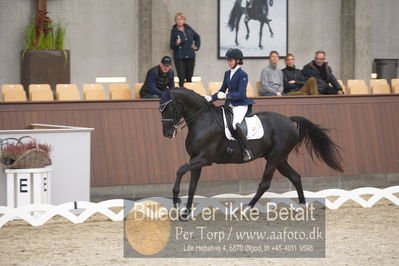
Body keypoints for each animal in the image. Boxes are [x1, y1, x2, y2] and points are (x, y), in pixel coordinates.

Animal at [159, 88, 344, 217]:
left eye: (168, 108)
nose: (167, 134)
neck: (203, 120)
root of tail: (288, 120)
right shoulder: (195, 159)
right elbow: (192, 186)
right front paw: (185, 213)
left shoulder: (204, 159)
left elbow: (180, 170)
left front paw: (176, 200)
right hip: (280, 159)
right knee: (295, 176)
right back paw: (302, 206)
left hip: (275, 158)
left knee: (265, 184)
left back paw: (246, 209)